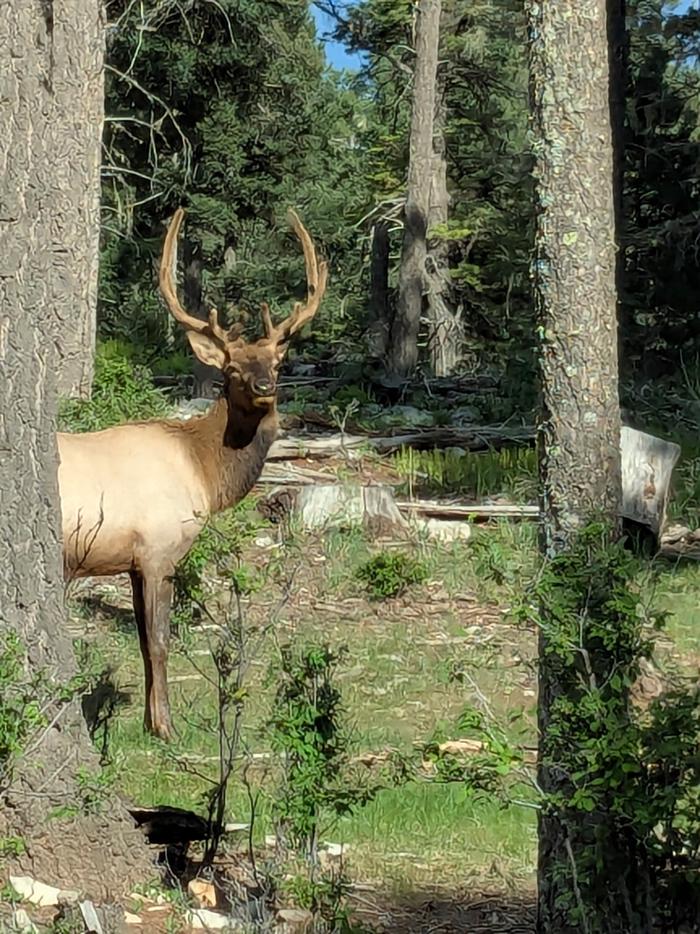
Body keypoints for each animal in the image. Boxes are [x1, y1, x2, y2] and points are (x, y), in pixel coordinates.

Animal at [58, 208, 328, 741]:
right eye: (232, 368)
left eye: (276, 361)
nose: (264, 386)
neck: (202, 472)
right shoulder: (159, 550)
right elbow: (160, 642)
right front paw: (166, 728)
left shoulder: (133, 560)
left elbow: (144, 644)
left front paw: (150, 721)